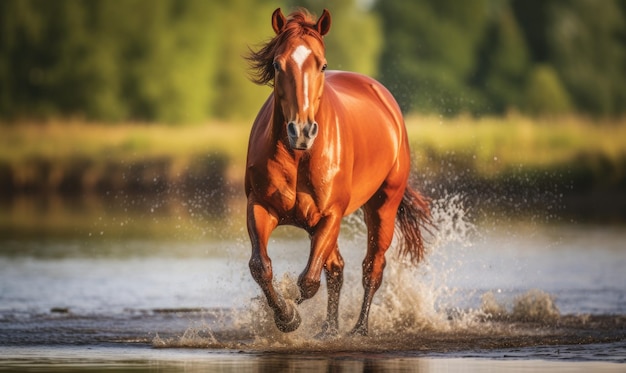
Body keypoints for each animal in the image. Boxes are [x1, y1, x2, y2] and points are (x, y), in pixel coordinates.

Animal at [244, 8, 428, 336]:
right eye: (277, 64)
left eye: (322, 65)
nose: (302, 131)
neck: (299, 156)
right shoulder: (260, 206)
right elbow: (261, 268)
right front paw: (284, 316)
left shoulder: (331, 214)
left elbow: (308, 282)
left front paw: (290, 312)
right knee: (337, 268)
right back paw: (329, 328)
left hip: (382, 207)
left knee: (372, 267)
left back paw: (359, 329)